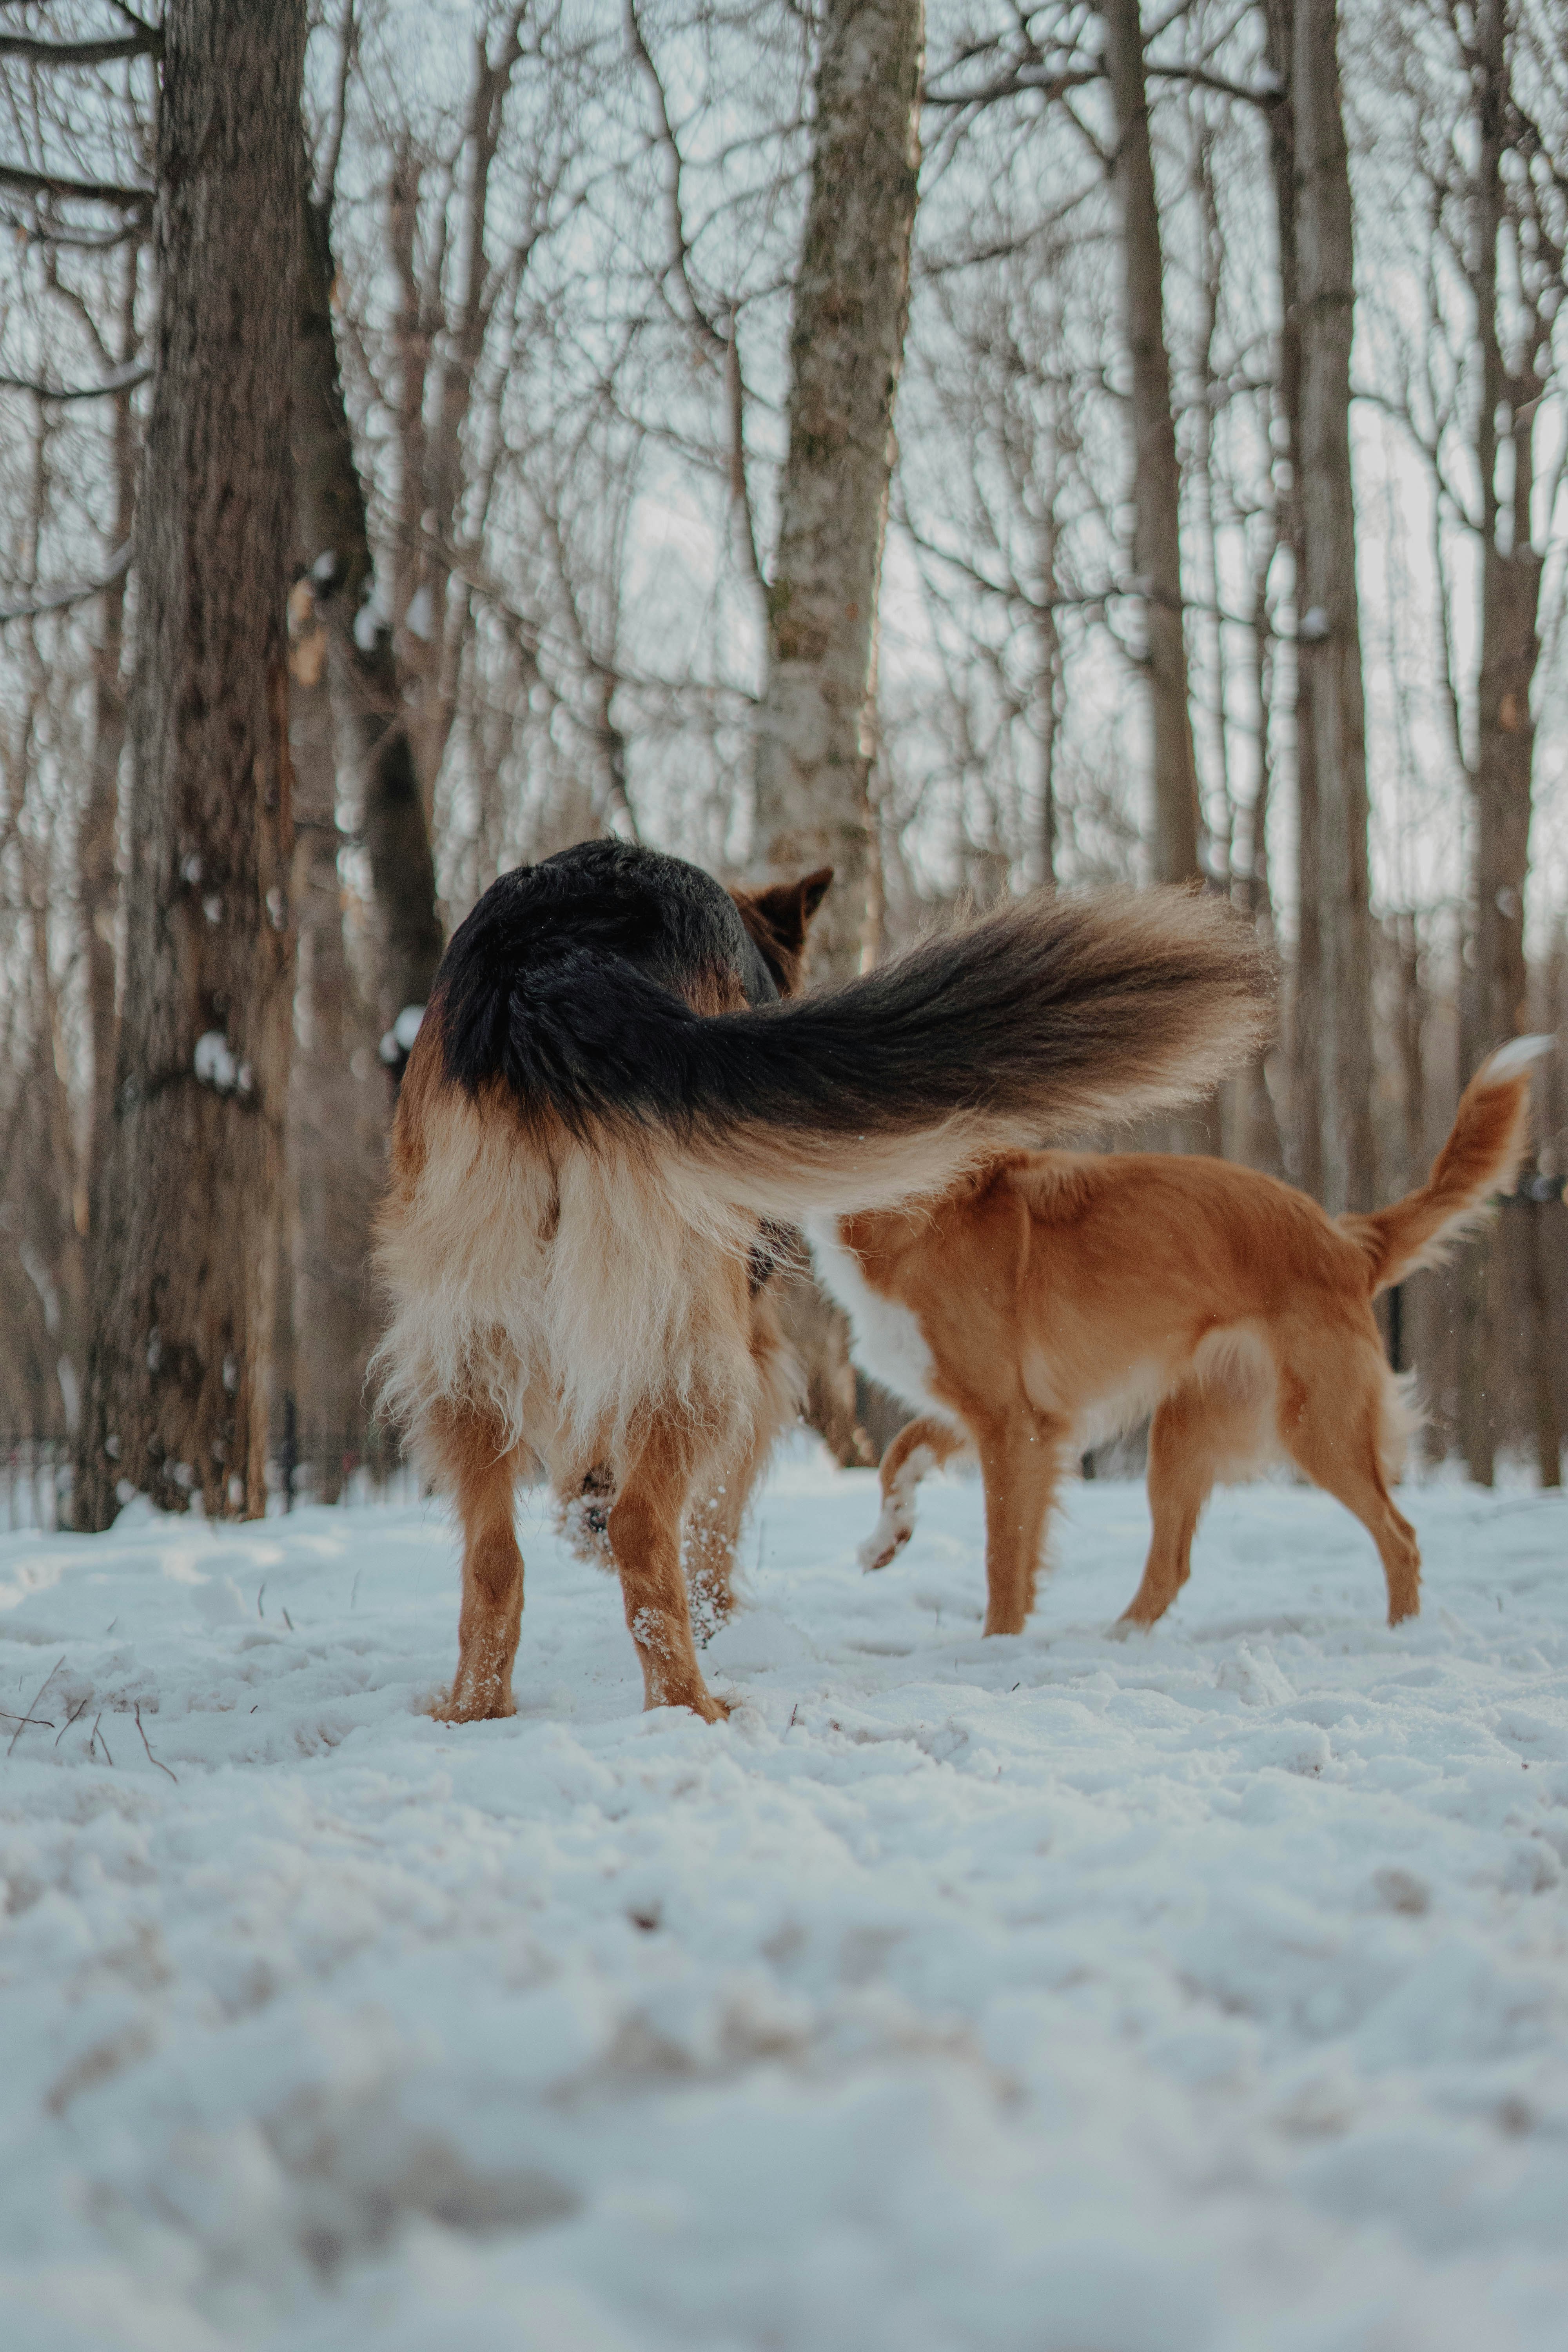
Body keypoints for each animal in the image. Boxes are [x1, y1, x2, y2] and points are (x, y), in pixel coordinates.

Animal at [376, 837, 1279, 1722]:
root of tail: (552, 954)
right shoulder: (757, 1355)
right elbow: (711, 1524)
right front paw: (709, 1613)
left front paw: (588, 1516)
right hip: (688, 1334)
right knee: (643, 1527)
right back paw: (693, 1706)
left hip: (471, 1339)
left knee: (494, 1555)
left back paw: (475, 1710)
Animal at [827, 1040, 1552, 1628]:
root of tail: (1344, 1240)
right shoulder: (1006, 1412)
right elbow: (901, 1452)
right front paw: (886, 1539)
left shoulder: (1012, 1423)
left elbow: (1004, 1558)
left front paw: (998, 1650)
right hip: (1185, 1436)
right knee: (1173, 1565)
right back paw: (1121, 1642)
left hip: (1317, 1428)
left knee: (1401, 1538)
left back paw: (1402, 1634)